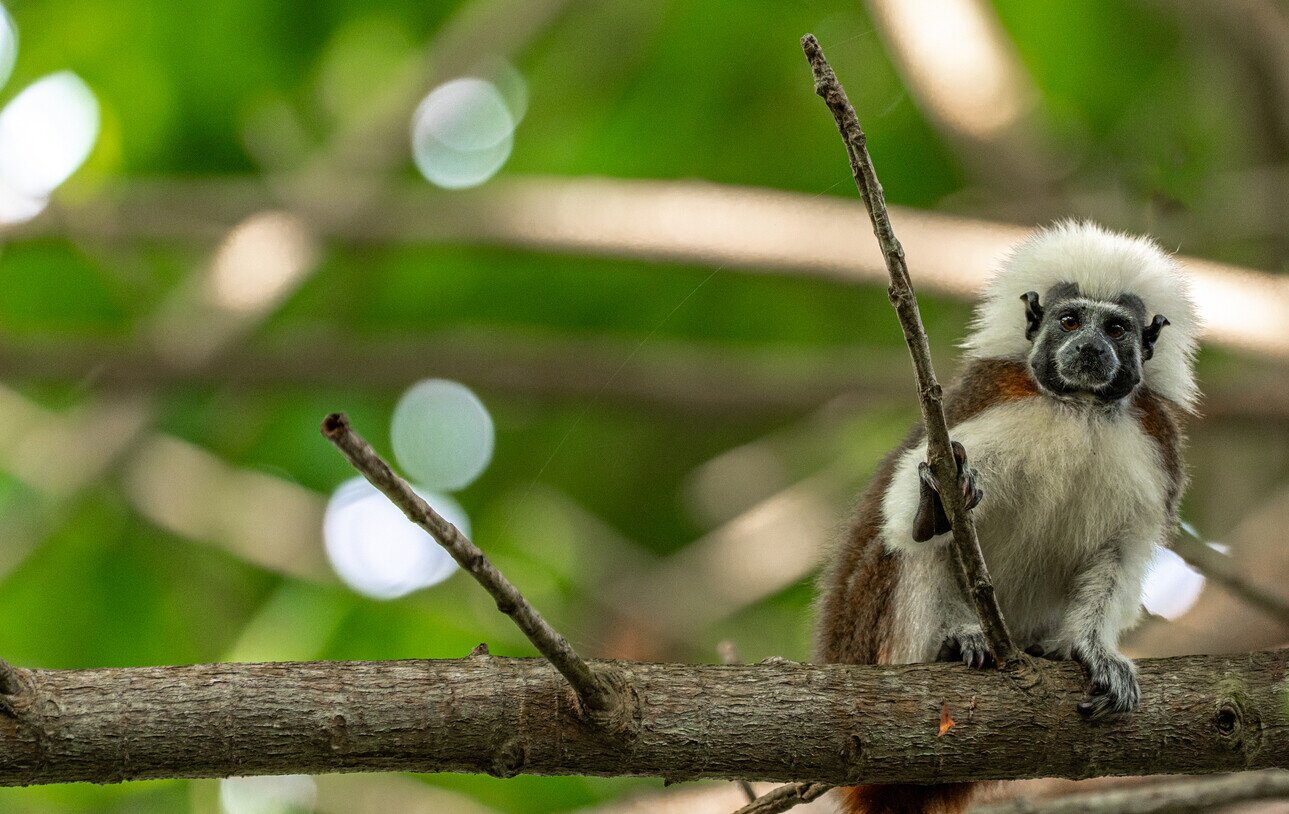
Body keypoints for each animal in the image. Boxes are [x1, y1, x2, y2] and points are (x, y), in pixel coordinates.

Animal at [816, 221, 1196, 814]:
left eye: (1115, 328)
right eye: (1070, 320)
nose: (1090, 347)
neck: (1079, 410)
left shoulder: (1154, 444)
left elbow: (1120, 553)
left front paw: (1092, 651)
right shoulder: (990, 402)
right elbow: (904, 509)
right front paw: (932, 503)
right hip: (874, 643)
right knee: (910, 547)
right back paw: (955, 637)